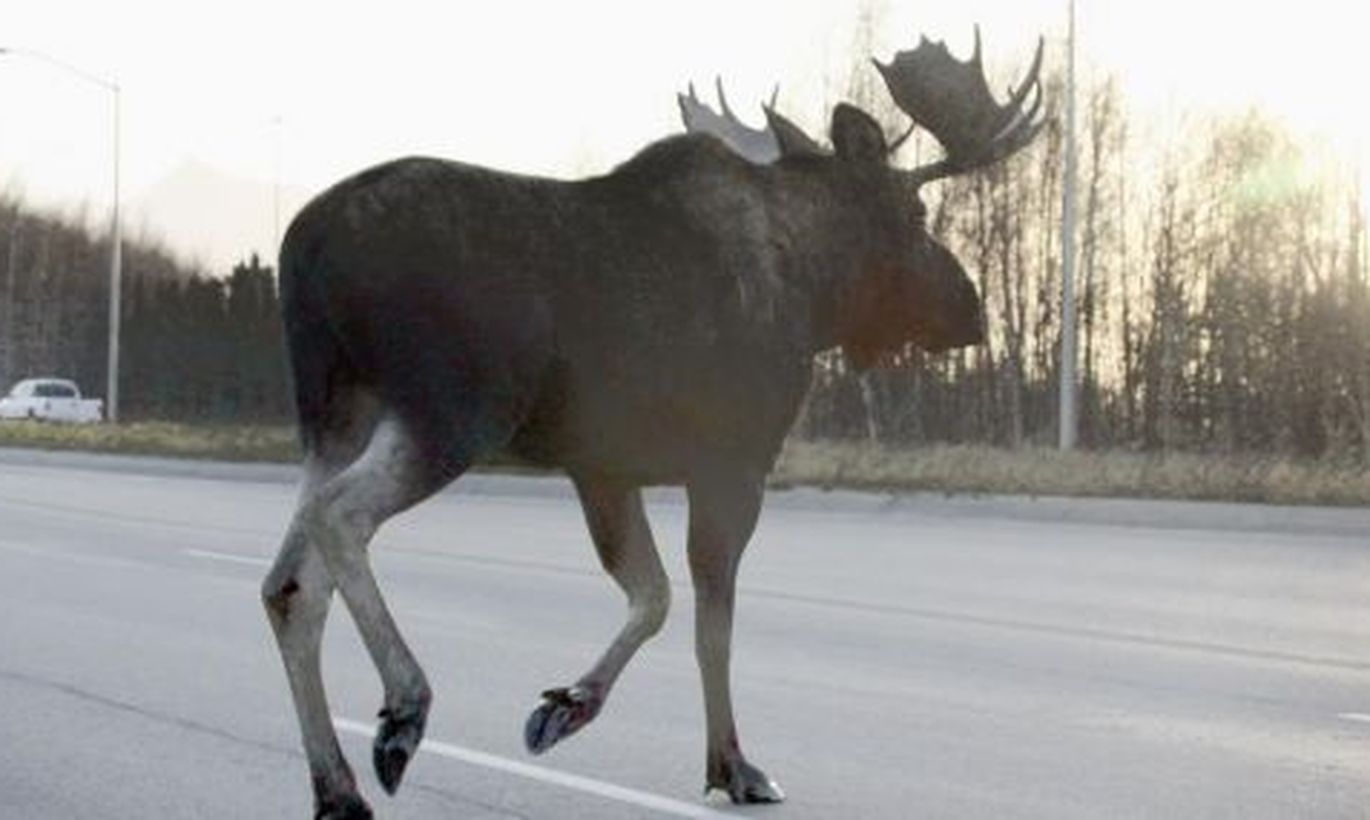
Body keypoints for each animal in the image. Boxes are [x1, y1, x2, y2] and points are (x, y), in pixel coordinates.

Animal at [261, 28, 1044, 819]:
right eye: (916, 217)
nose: (970, 310)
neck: (816, 289)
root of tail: (303, 247)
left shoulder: (605, 467)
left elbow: (652, 595)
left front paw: (567, 705)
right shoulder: (732, 463)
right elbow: (709, 622)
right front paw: (731, 765)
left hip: (337, 414)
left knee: (291, 585)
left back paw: (337, 788)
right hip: (450, 410)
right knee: (340, 518)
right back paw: (403, 711)